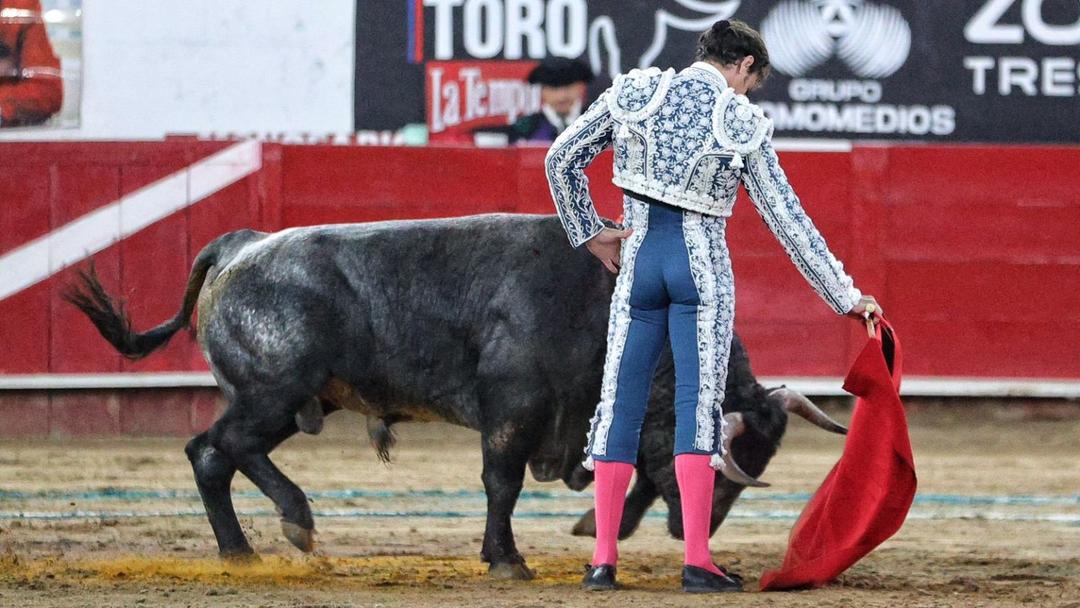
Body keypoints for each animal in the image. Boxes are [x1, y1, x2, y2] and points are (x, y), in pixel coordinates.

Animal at [65, 213, 842, 578]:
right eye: (722, 473)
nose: (692, 533)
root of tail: (240, 245)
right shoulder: (513, 409)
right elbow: (501, 483)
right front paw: (508, 559)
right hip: (273, 389)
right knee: (217, 449)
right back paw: (291, 523)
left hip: (290, 398)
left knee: (221, 454)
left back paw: (246, 549)